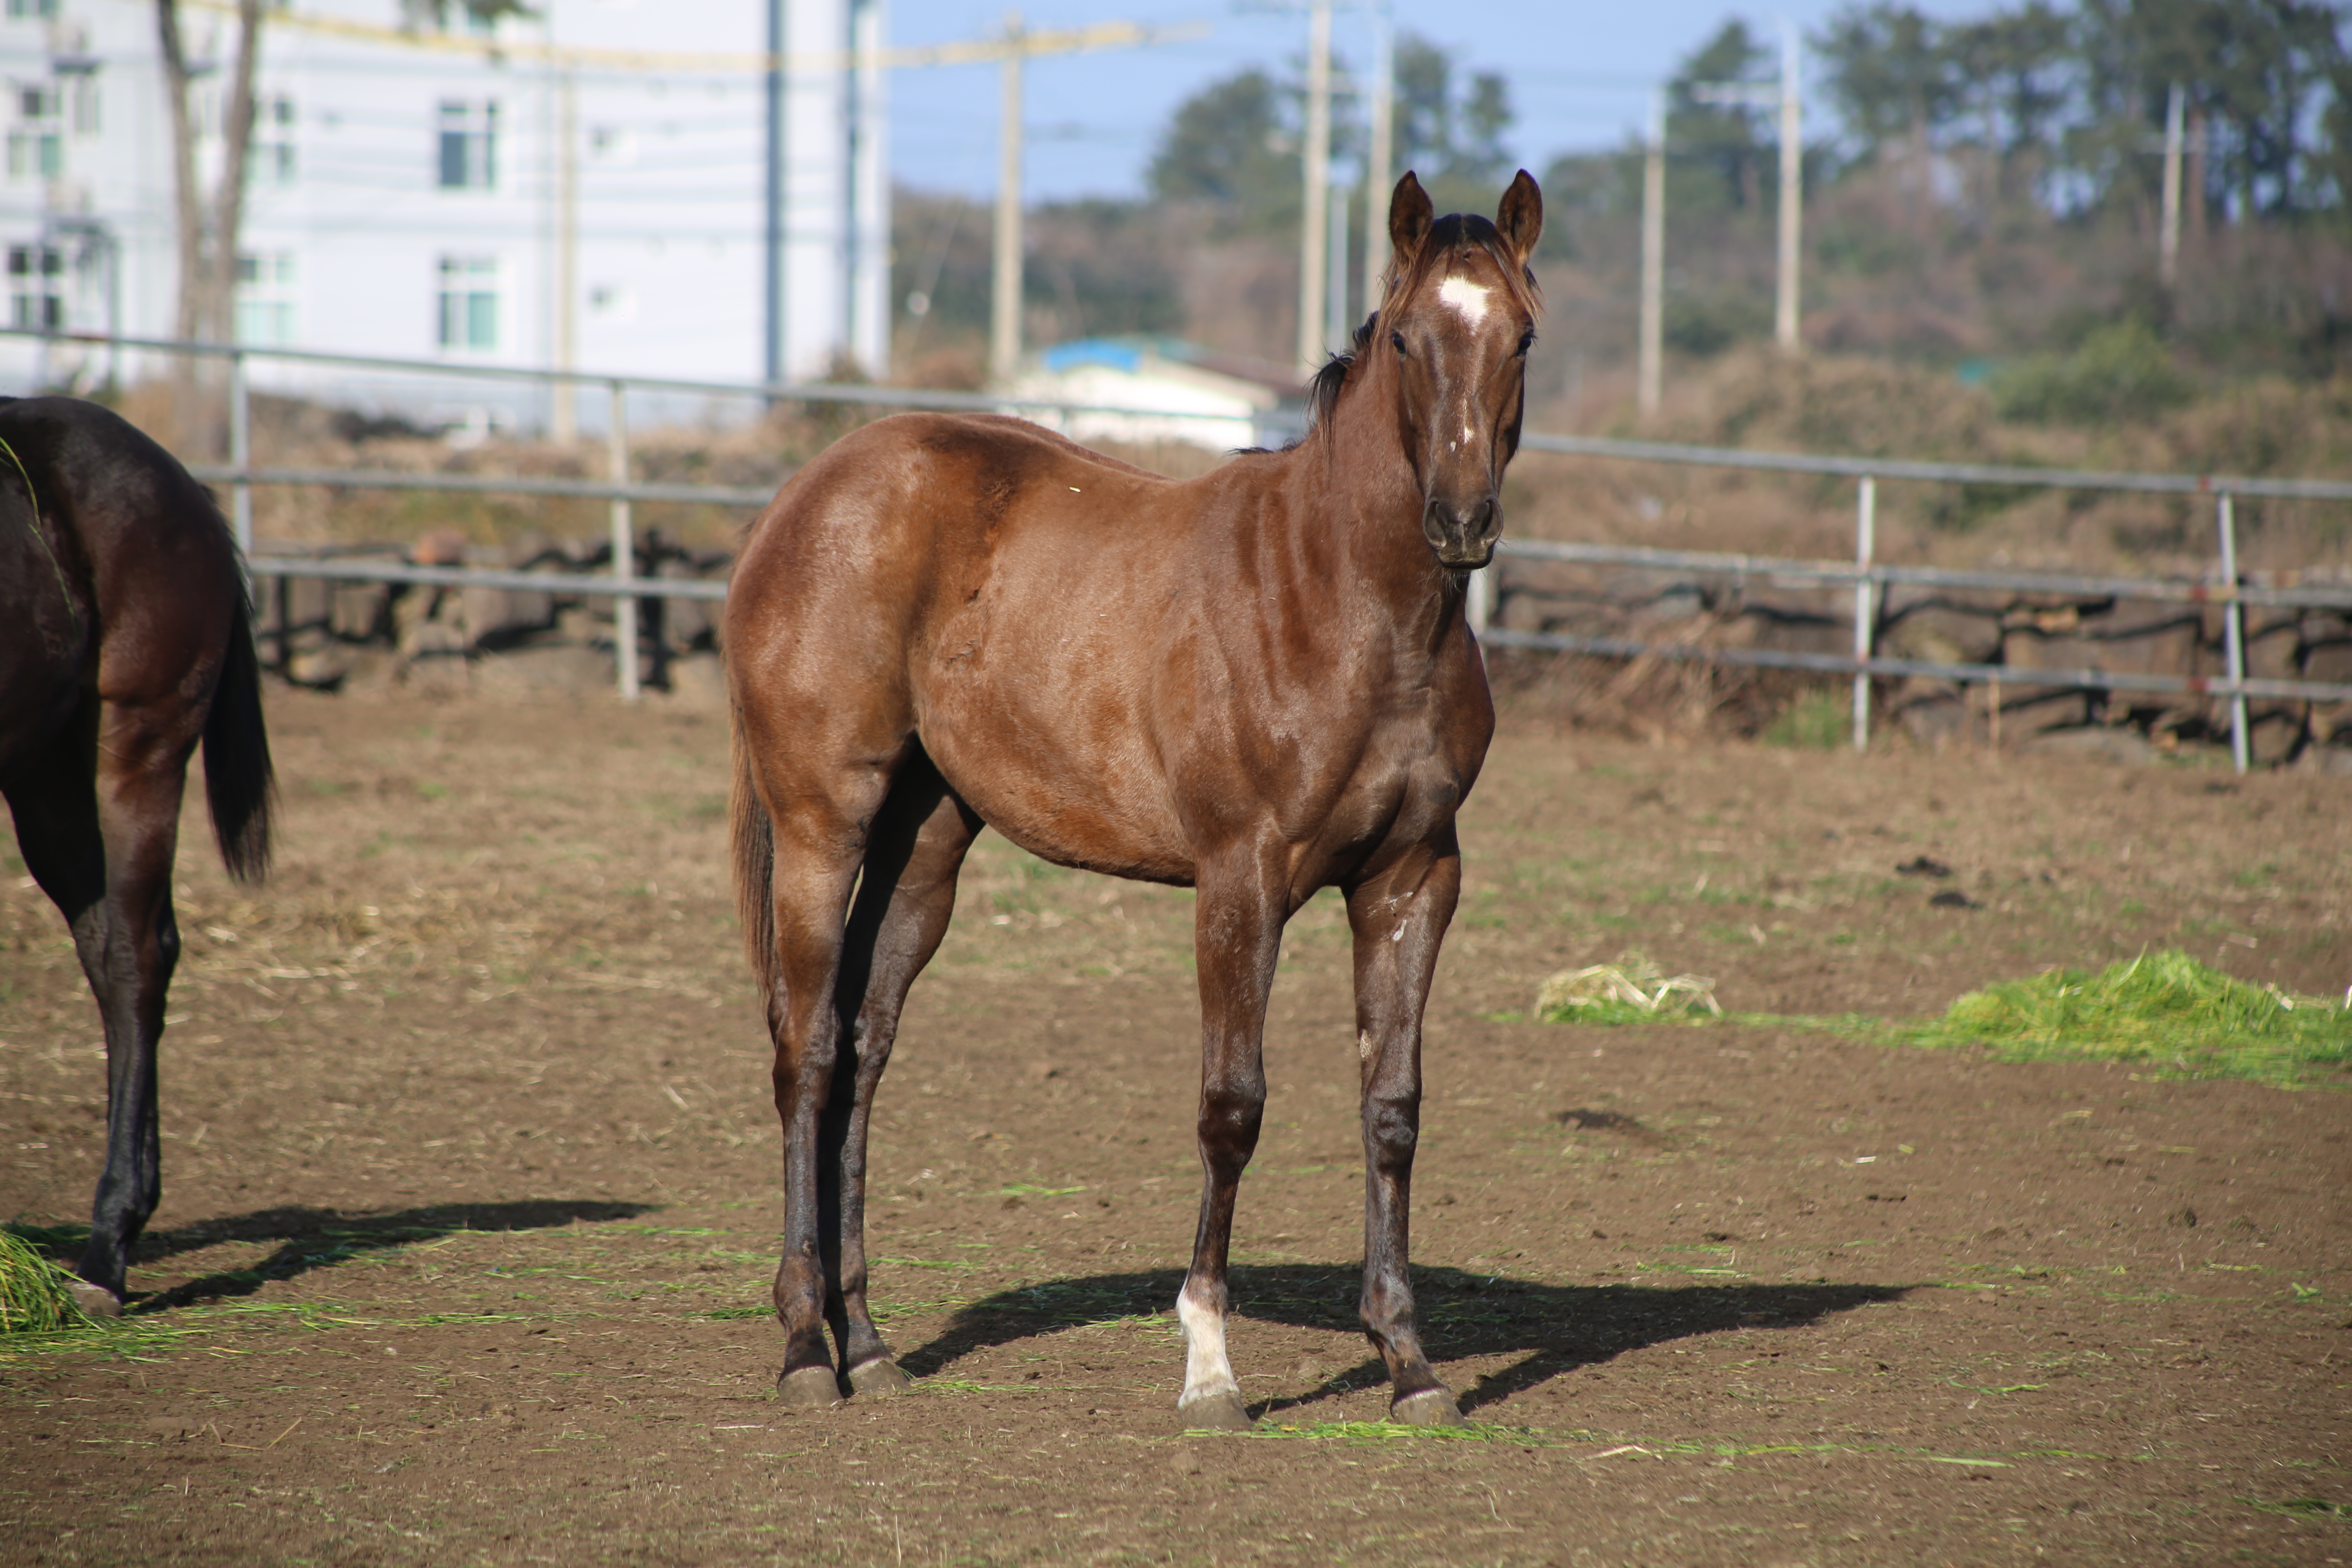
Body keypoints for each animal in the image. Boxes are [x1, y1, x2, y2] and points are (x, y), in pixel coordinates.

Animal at [734, 175, 1543, 1439]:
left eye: (1521, 337)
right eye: (1410, 338)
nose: (1460, 522)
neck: (1348, 600)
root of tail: (803, 498)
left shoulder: (1413, 880)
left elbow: (1392, 1108)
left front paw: (1409, 1361)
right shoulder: (1239, 879)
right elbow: (1232, 1106)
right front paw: (1209, 1367)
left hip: (924, 847)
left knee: (863, 1051)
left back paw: (866, 1342)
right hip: (824, 826)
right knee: (807, 1052)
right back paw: (804, 1348)